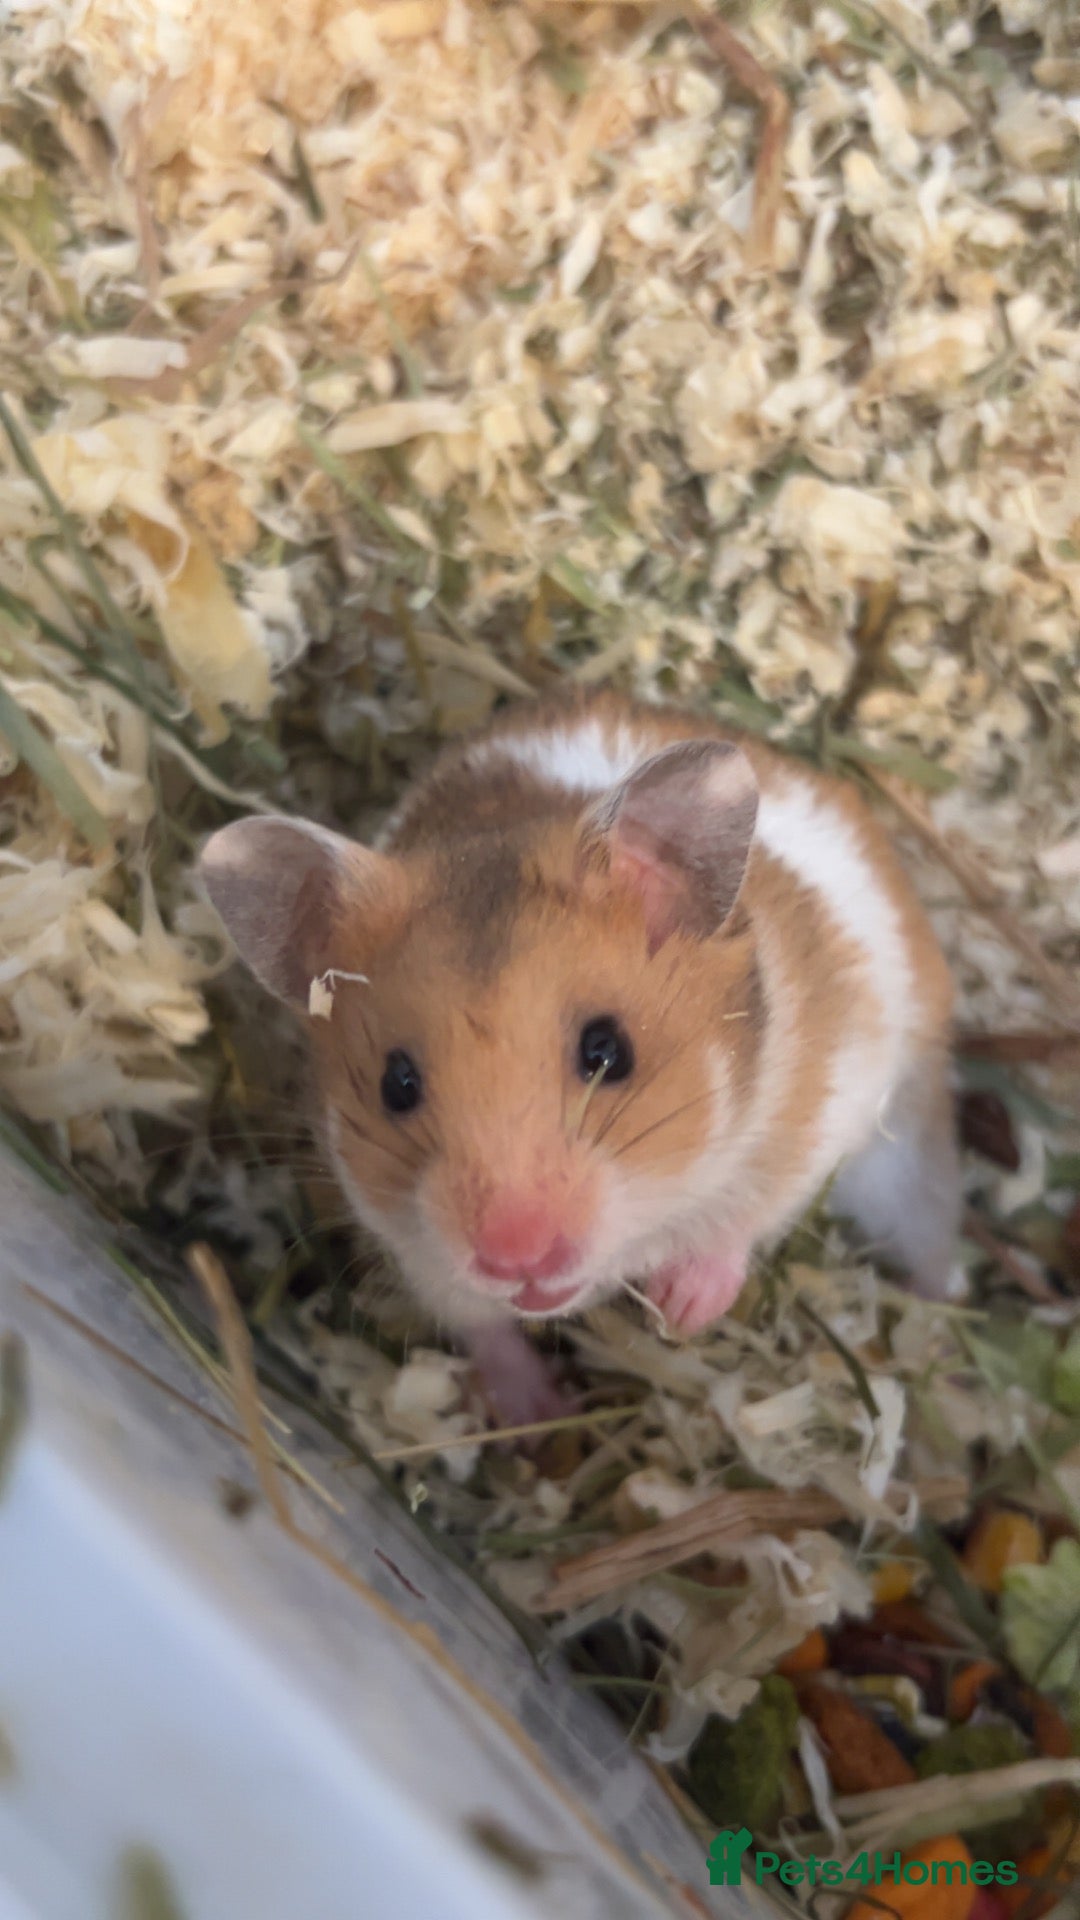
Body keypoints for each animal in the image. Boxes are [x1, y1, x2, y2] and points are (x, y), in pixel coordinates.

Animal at [199, 689, 962, 1424]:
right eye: (396, 1083)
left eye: (607, 1051)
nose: (518, 1258)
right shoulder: (422, 1255)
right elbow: (484, 1329)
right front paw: (540, 1411)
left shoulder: (823, 1101)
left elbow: (743, 1218)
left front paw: (681, 1311)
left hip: (901, 1144)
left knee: (928, 1223)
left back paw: (935, 1308)